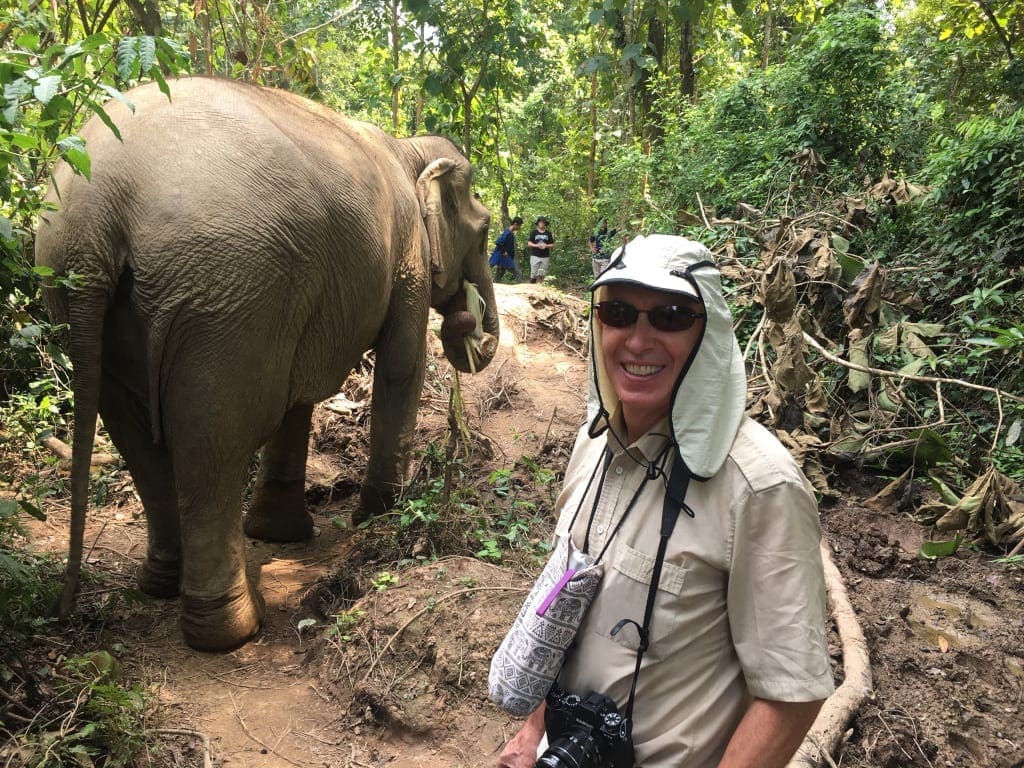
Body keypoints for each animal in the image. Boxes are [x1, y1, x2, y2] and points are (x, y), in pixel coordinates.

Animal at [37, 75, 501, 651]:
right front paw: (380, 516)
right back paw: (234, 629)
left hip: (81, 299)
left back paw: (163, 585)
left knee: (136, 433)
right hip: (225, 292)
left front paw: (279, 534)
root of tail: (97, 211)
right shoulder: (407, 258)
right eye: (485, 231)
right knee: (214, 438)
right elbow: (399, 366)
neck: (407, 147)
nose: (464, 319)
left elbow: (297, 396)